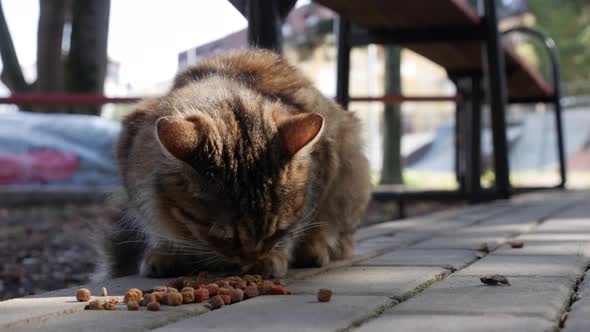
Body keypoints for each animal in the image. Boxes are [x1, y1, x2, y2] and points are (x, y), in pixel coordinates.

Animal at [96, 48, 372, 278]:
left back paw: (314, 250)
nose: (249, 261)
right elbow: (155, 225)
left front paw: (274, 256)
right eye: (223, 237)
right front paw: (166, 252)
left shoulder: (325, 164)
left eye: (276, 232)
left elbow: (303, 222)